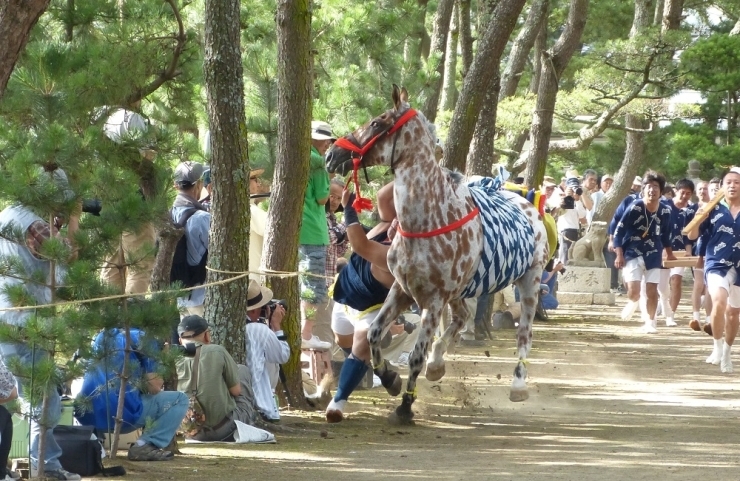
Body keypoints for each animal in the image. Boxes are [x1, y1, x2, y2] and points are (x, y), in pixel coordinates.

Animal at [326, 86, 552, 424]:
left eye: (378, 122)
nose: (332, 155)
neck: (428, 221)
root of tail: (528, 203)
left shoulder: (432, 299)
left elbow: (415, 355)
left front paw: (406, 405)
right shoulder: (402, 289)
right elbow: (375, 334)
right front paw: (390, 378)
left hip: (530, 279)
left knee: (524, 334)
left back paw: (518, 385)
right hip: (461, 289)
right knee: (462, 317)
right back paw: (437, 364)